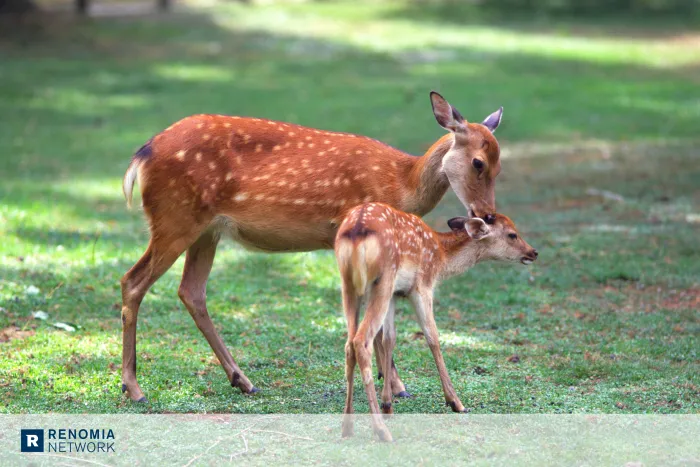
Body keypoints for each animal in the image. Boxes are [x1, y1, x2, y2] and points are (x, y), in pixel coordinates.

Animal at [120, 92, 504, 402]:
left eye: (500, 167)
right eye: (478, 162)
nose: (486, 214)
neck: (401, 183)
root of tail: (141, 155)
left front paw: (393, 383)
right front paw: (397, 386)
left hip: (206, 231)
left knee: (191, 290)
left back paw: (243, 380)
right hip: (175, 218)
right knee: (133, 281)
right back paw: (134, 388)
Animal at [336, 203, 540, 440]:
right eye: (512, 234)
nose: (533, 252)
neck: (441, 255)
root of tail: (356, 232)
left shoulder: (396, 293)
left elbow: (390, 339)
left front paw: (388, 404)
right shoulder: (422, 286)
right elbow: (432, 337)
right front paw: (456, 402)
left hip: (350, 284)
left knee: (349, 344)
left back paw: (347, 426)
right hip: (382, 281)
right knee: (361, 341)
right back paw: (381, 431)